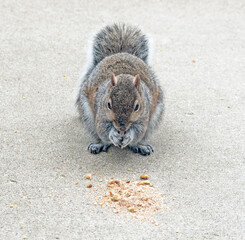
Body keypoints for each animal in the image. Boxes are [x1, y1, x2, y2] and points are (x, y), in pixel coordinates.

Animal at [75, 23, 164, 156]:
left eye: (137, 106)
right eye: (108, 104)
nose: (121, 127)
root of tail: (121, 52)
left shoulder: (144, 116)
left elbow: (139, 130)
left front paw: (129, 136)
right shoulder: (100, 113)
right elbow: (103, 128)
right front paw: (112, 135)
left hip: (154, 119)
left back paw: (140, 146)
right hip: (87, 115)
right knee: (98, 134)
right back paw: (98, 144)